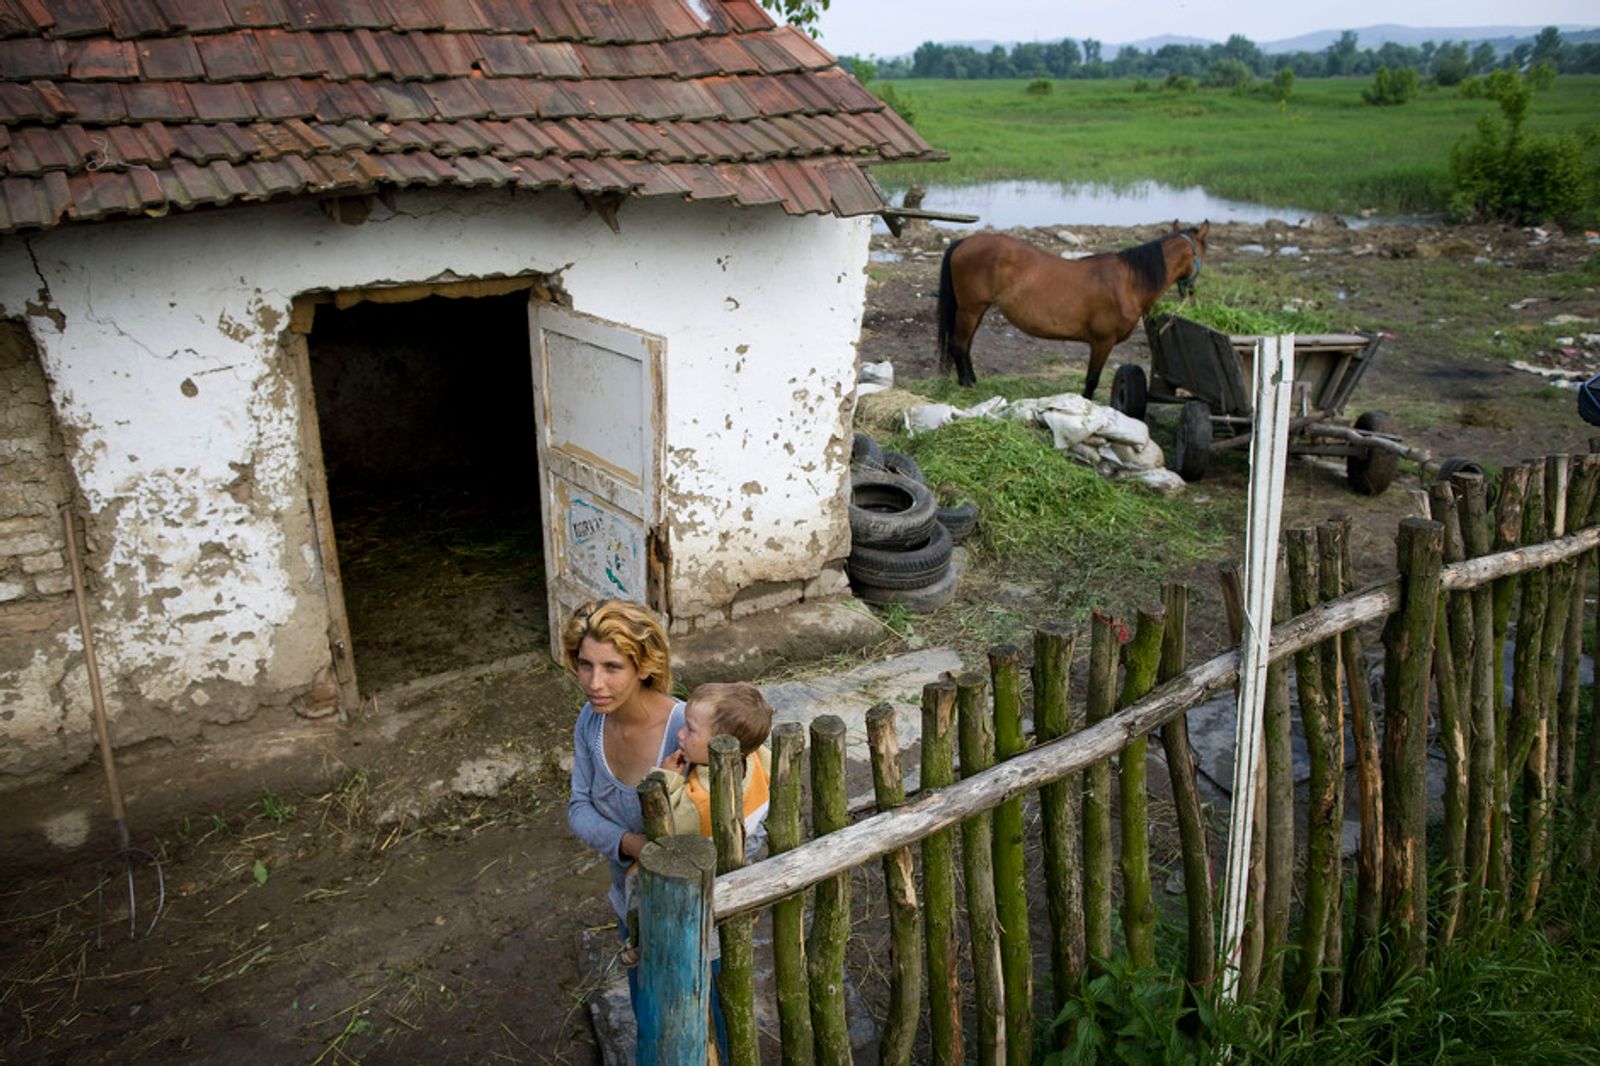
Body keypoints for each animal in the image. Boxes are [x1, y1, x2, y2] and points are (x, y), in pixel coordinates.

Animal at [934, 219, 1203, 398]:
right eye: (1203, 250)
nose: (1190, 292)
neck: (1128, 282)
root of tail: (965, 241)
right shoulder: (1102, 343)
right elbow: (1091, 381)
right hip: (970, 308)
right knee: (959, 345)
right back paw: (966, 383)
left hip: (975, 310)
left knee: (966, 345)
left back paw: (972, 380)